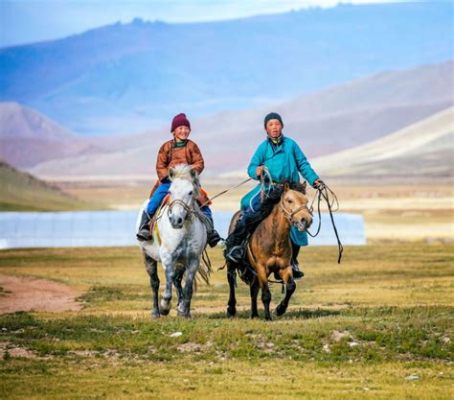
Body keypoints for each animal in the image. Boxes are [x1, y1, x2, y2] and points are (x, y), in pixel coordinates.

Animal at [137, 164, 210, 318]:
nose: (176, 220)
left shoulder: (193, 259)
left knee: (177, 280)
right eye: (170, 191)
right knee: (155, 282)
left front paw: (184, 311)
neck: (185, 230)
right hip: (147, 256)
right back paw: (156, 312)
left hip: (181, 262)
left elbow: (188, 285)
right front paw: (165, 306)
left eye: (190, 192)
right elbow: (168, 279)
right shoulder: (167, 256)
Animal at [226, 183, 312, 320]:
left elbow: (291, 286)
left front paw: (280, 309)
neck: (275, 239)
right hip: (232, 264)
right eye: (289, 200)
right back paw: (231, 309)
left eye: (306, 201)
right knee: (231, 281)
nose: (306, 219)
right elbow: (266, 294)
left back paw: (254, 314)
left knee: (253, 289)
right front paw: (268, 317)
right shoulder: (261, 268)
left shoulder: (284, 267)